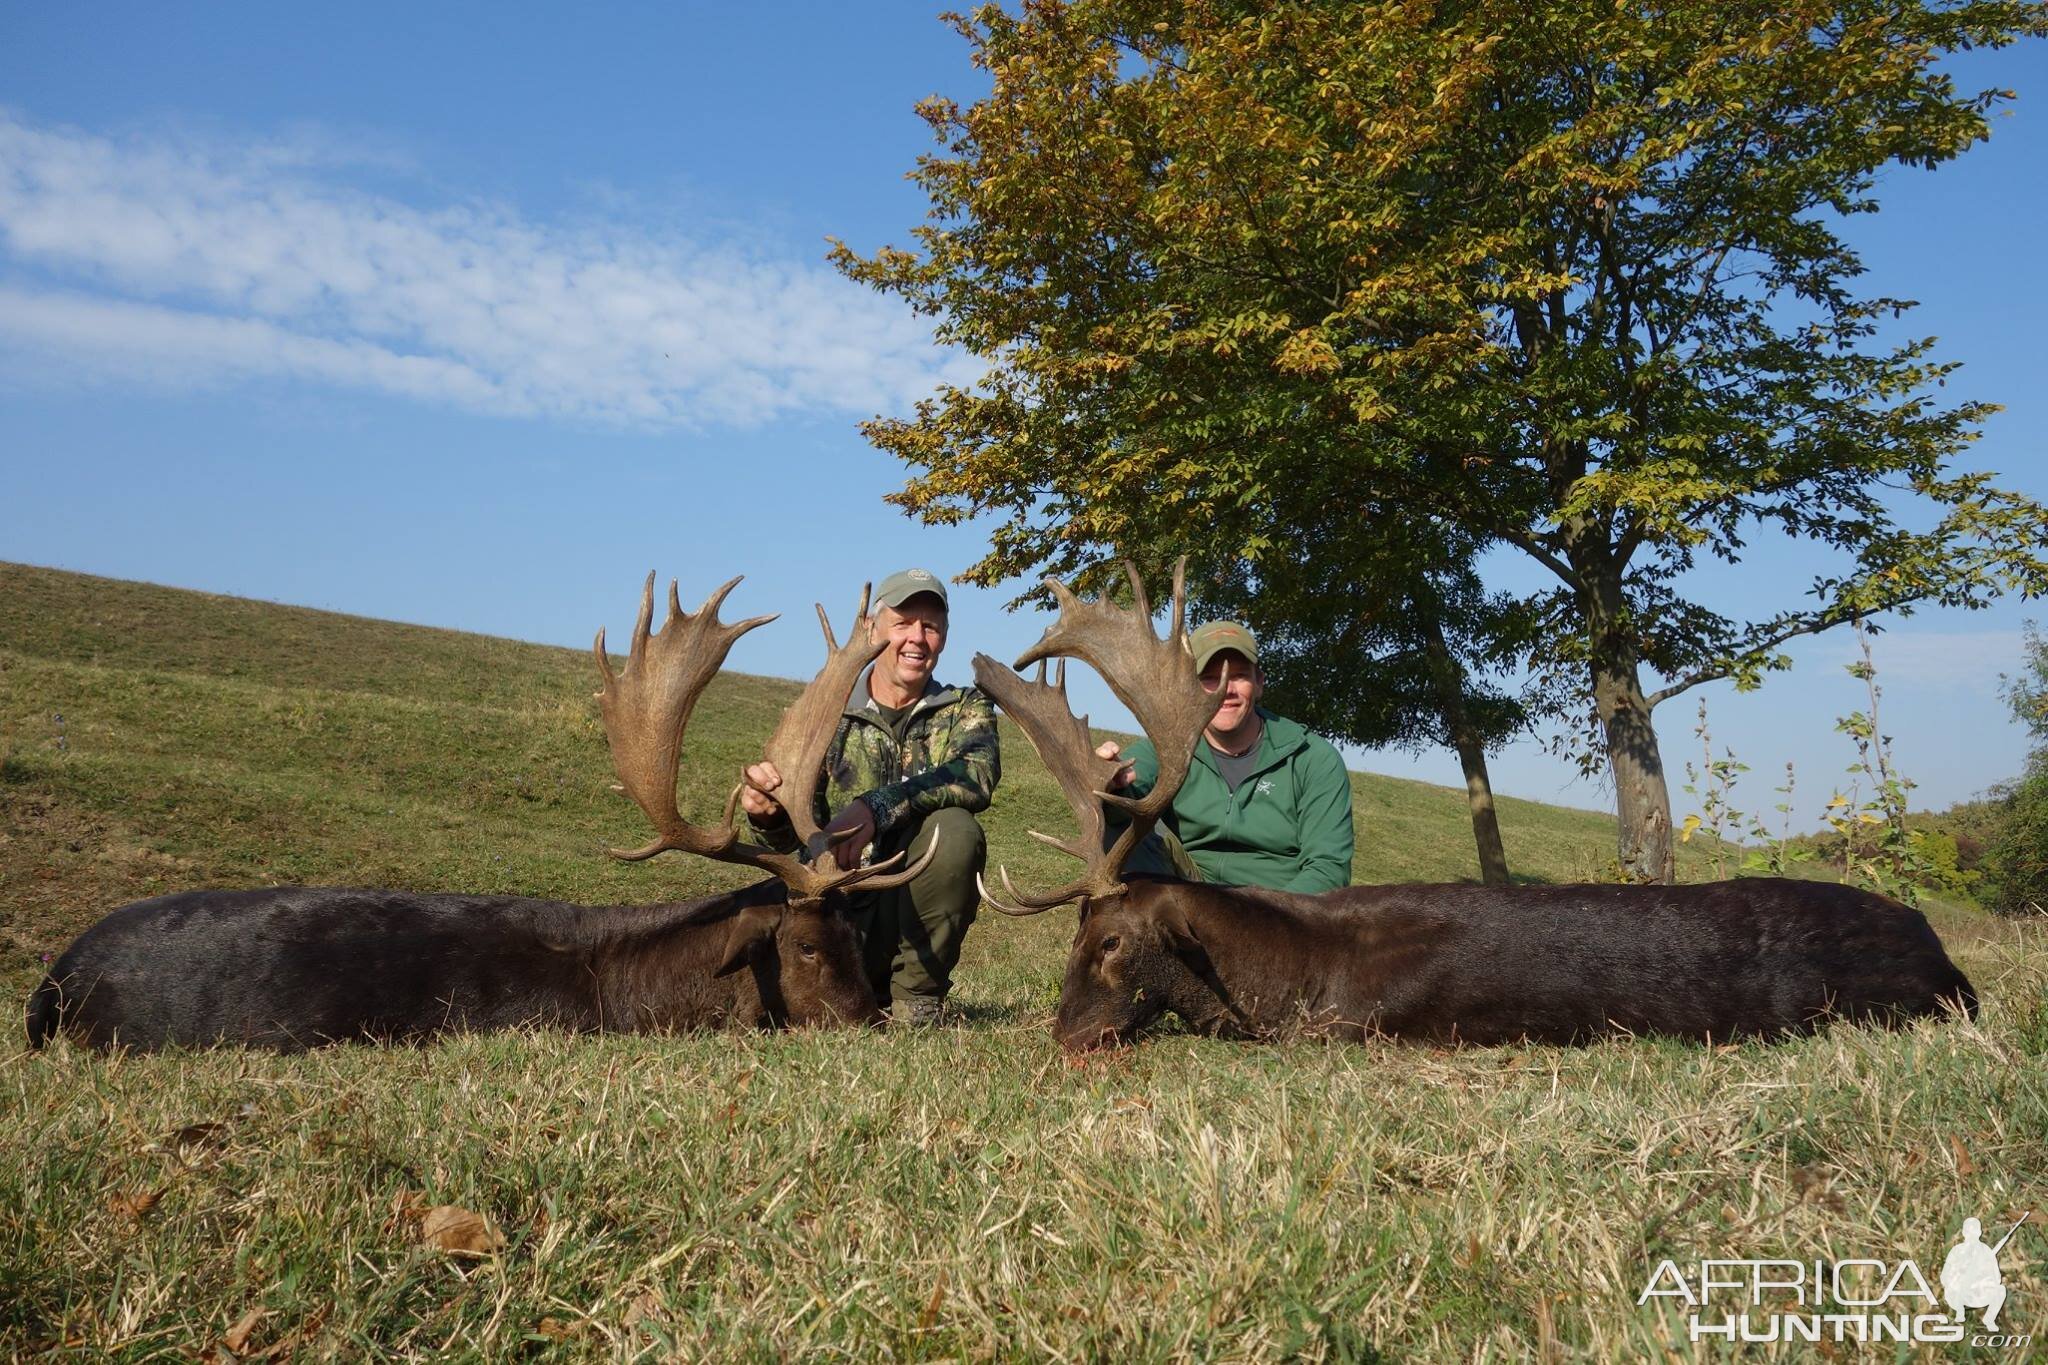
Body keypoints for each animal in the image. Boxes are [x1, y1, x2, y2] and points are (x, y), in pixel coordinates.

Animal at [974, 560, 1982, 1055]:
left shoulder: (1355, 1029)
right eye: (1074, 936)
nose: (1062, 1034)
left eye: (1110, 942)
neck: (1288, 979)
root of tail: (1947, 957)